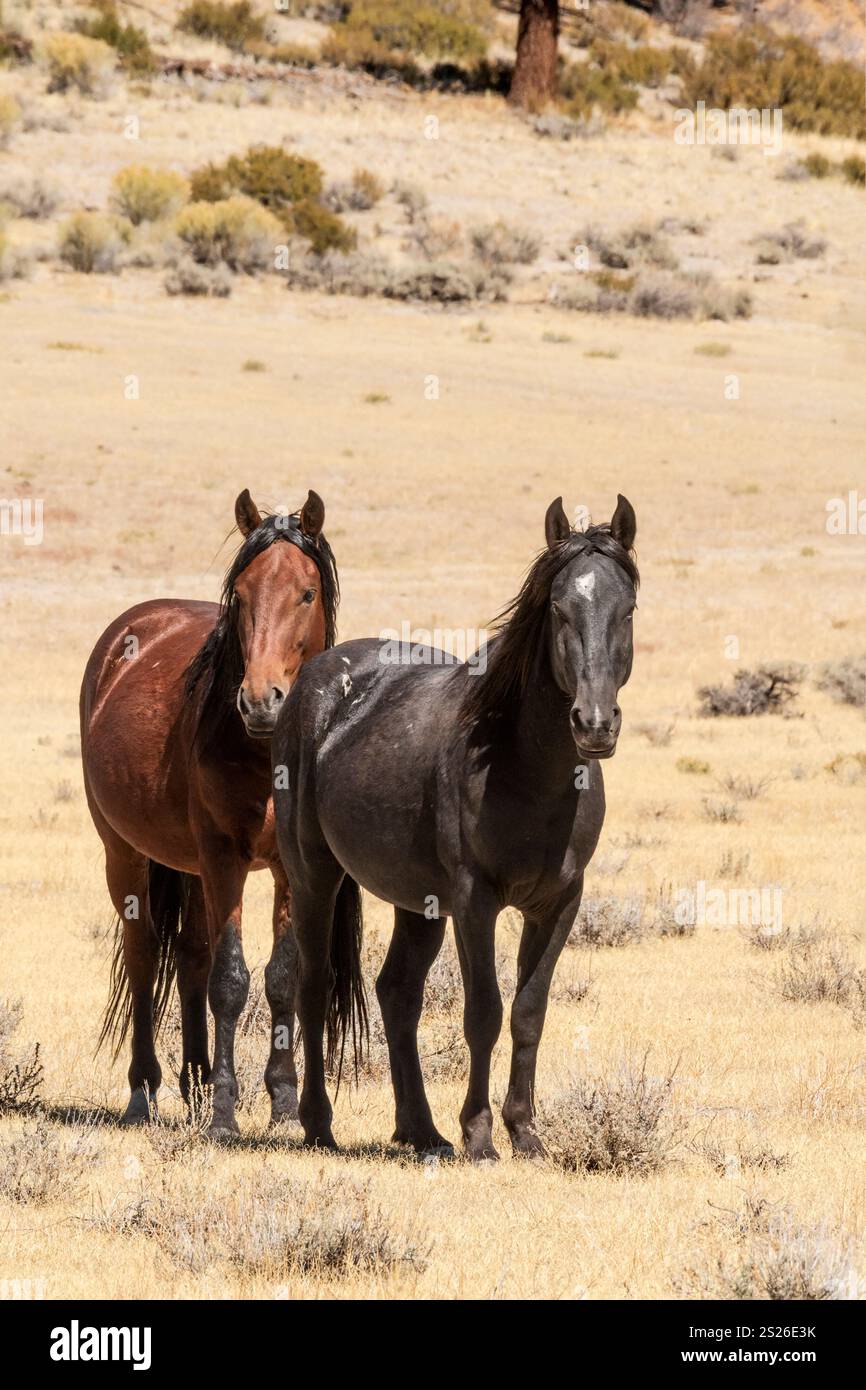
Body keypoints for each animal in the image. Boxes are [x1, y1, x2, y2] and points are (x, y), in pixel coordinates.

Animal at [80, 488, 357, 1136]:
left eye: (307, 593)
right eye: (243, 594)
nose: (260, 701)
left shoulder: (289, 866)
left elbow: (280, 977)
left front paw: (282, 1103)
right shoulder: (223, 857)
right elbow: (230, 980)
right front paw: (227, 1114)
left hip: (188, 865)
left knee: (189, 956)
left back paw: (196, 1083)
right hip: (125, 855)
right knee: (145, 956)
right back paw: (145, 1092)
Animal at [272, 494, 638, 1159]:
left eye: (627, 609)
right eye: (558, 609)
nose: (595, 724)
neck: (525, 768)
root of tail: (315, 678)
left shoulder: (559, 904)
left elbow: (529, 1011)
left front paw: (525, 1132)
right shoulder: (474, 901)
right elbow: (484, 1013)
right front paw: (480, 1133)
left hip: (417, 904)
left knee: (397, 994)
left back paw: (420, 1131)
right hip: (314, 876)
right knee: (313, 987)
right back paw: (317, 1123)